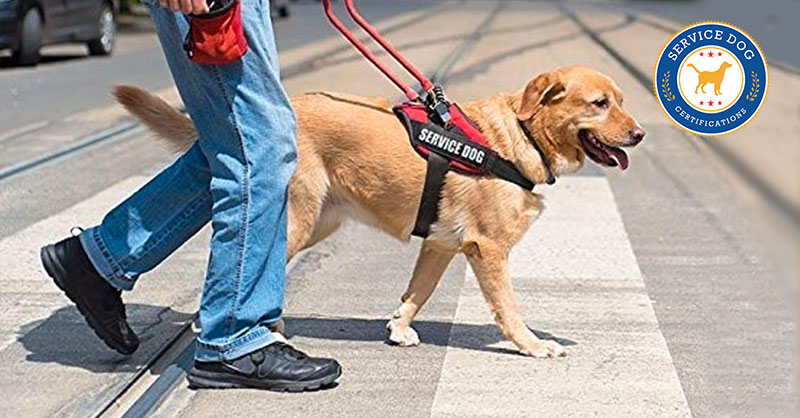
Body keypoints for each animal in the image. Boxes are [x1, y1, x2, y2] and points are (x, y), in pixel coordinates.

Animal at [115, 66, 648, 360]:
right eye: (599, 104)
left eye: (622, 101)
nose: (640, 133)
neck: (521, 136)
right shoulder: (489, 250)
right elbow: (509, 309)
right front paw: (532, 345)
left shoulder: (440, 245)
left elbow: (417, 292)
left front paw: (398, 328)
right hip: (296, 221)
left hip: (318, 222)